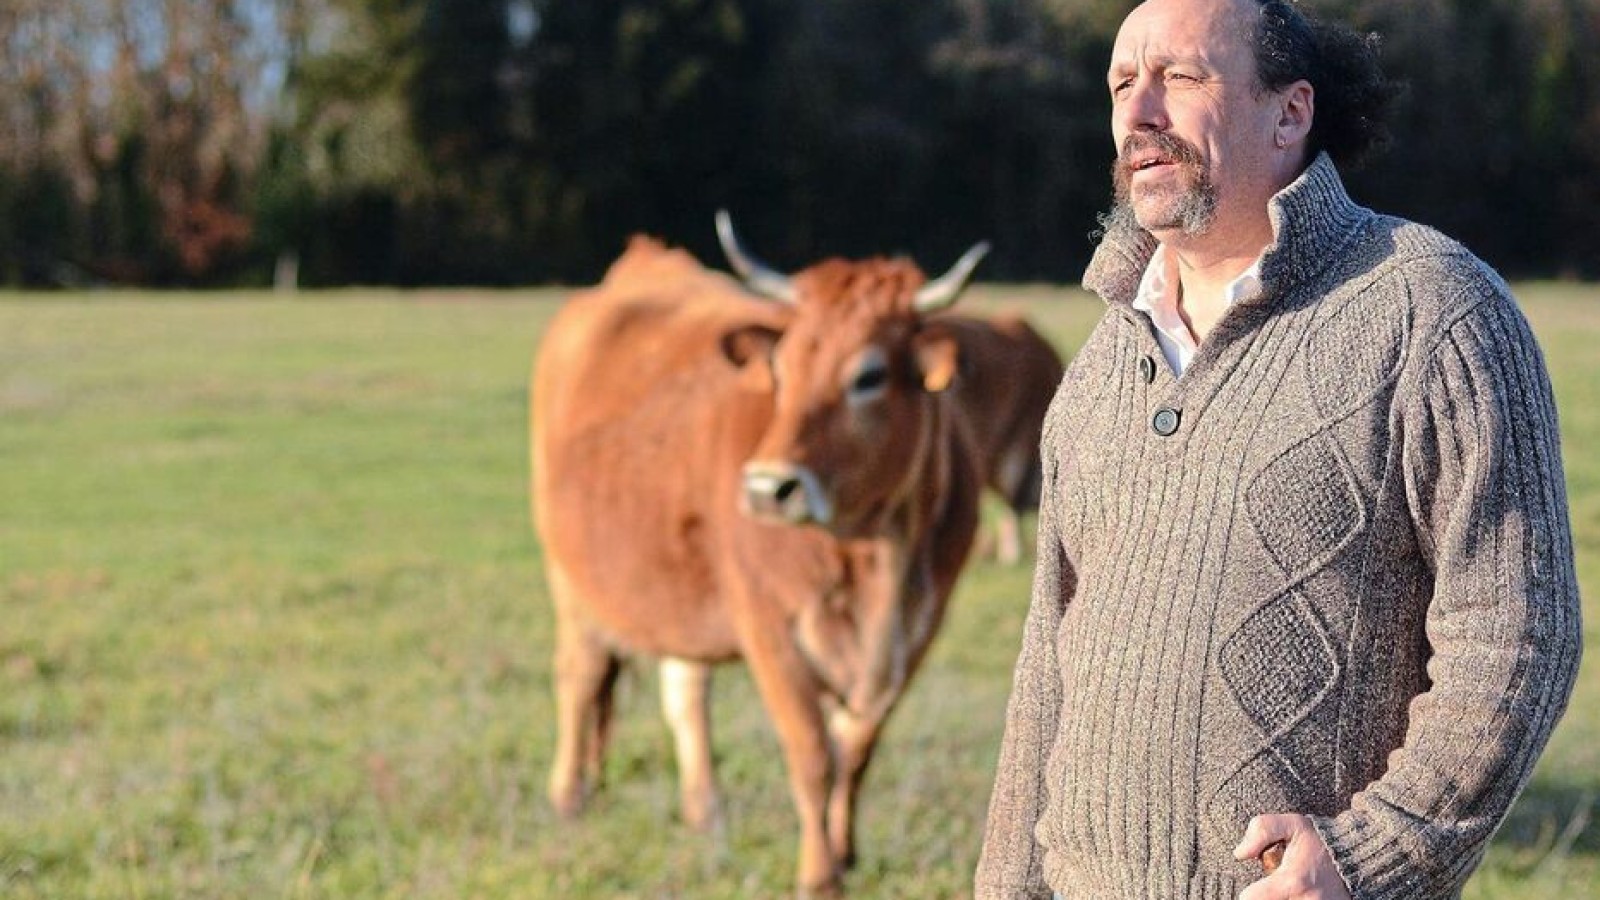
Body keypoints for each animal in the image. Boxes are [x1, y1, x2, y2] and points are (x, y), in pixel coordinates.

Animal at [531, 216, 985, 890]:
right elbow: (813, 753)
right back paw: (568, 797)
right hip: (571, 578)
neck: (874, 553)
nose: (769, 487)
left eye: (869, 376)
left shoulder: (914, 634)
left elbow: (857, 748)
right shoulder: (769, 628)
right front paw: (818, 875)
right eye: (783, 370)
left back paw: (704, 811)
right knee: (580, 676)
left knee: (685, 691)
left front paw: (846, 851)